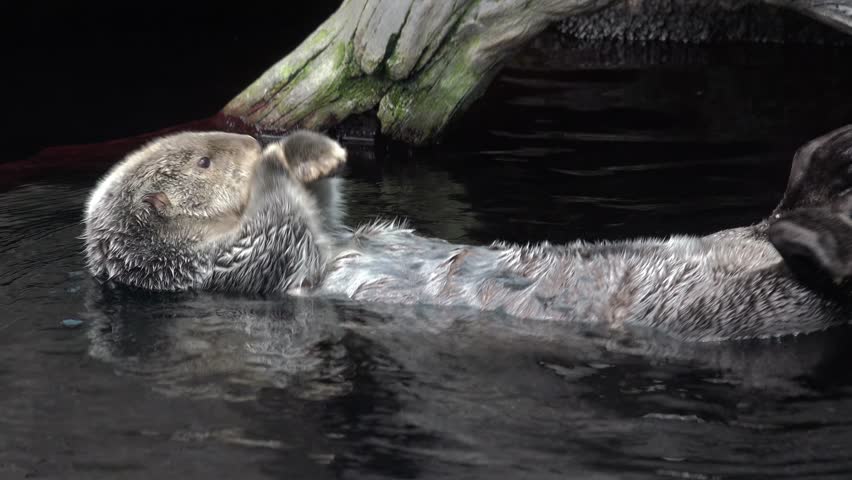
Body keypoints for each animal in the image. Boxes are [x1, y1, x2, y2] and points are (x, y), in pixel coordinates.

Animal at [83, 125, 852, 342]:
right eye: (205, 162)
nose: (246, 138)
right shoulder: (247, 268)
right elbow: (283, 226)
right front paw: (283, 157)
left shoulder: (311, 240)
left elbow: (322, 214)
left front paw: (313, 151)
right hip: (718, 308)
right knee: (815, 281)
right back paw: (814, 218)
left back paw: (821, 159)